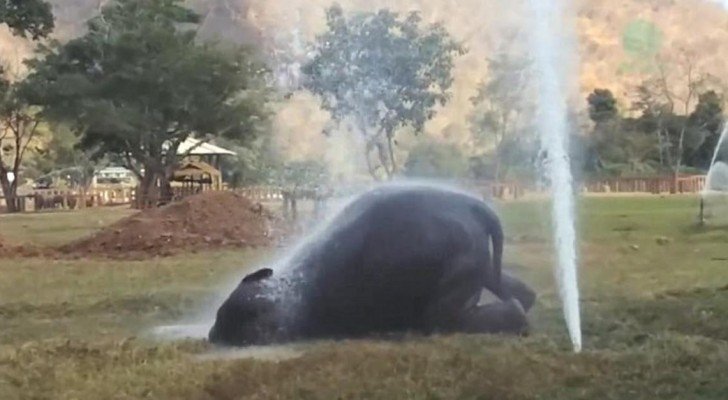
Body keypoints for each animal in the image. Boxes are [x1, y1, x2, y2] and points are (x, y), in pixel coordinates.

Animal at [209, 184, 536, 347]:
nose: (212, 335)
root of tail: (478, 208)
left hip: (459, 261)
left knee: (446, 317)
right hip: (472, 258)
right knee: (500, 288)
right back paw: (524, 305)